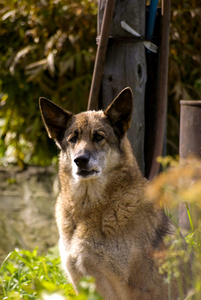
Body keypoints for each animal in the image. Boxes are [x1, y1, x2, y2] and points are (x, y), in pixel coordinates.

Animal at [39, 88, 188, 298]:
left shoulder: (136, 289)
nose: (80, 160)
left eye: (99, 137)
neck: (88, 208)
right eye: (73, 139)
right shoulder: (81, 284)